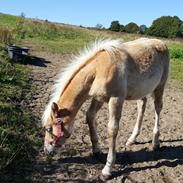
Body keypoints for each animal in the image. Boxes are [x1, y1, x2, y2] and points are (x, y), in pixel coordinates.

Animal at [42, 38, 169, 179]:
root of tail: (161, 43)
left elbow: (112, 129)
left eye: (49, 128)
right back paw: (132, 139)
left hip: (160, 86)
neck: (98, 70)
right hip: (141, 91)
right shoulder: (98, 98)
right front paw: (96, 150)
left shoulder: (116, 99)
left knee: (158, 108)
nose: (47, 151)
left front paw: (107, 169)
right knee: (142, 105)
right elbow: (90, 116)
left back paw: (155, 142)